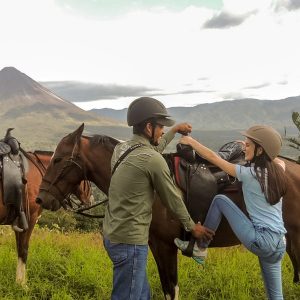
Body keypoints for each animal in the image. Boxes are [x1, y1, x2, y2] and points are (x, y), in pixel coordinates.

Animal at [0, 149, 91, 288]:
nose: (90, 197)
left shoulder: (19, 223)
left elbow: (19, 248)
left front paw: (18, 281)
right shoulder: (29, 219)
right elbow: (24, 249)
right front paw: (22, 284)